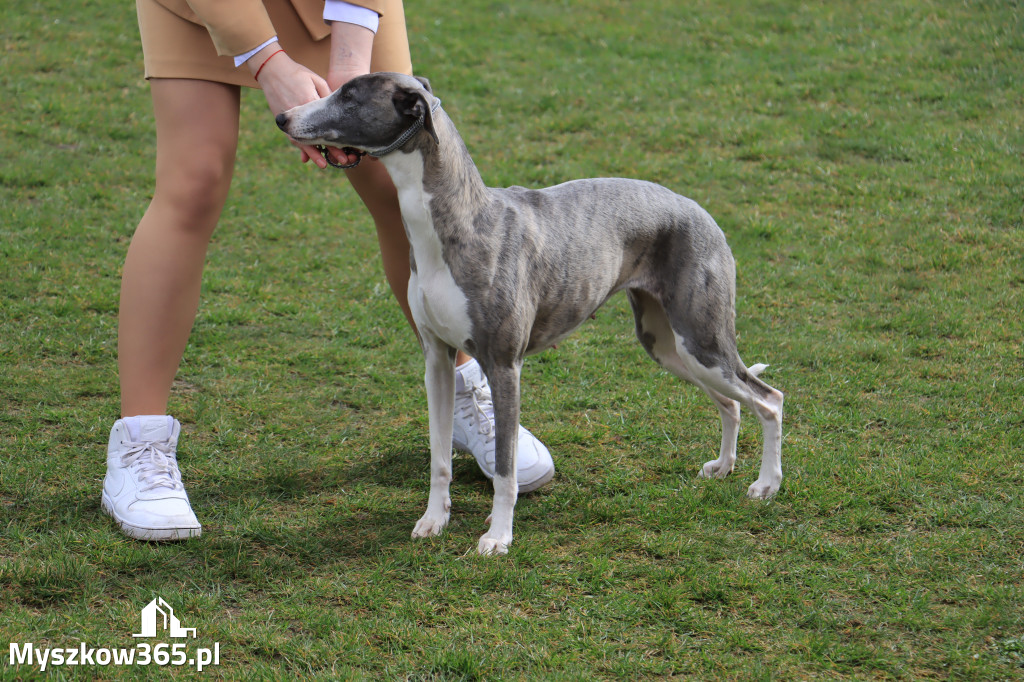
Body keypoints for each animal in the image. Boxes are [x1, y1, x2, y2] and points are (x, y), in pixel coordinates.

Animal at [276, 73, 786, 552]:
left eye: (349, 96)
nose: (282, 117)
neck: (460, 220)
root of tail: (702, 212)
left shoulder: (504, 366)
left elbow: (505, 468)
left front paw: (498, 537)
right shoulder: (436, 361)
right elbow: (439, 457)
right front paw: (434, 520)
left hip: (701, 338)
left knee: (768, 399)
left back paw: (765, 484)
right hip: (670, 345)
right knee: (730, 402)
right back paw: (723, 466)